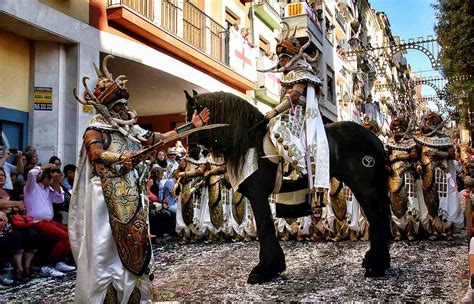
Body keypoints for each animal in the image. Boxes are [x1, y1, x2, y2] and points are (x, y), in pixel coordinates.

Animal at [186, 90, 392, 282]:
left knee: (376, 217)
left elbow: (264, 227)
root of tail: (375, 140)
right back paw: (376, 262)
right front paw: (274, 266)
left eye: (193, 117)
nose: (192, 153)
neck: (250, 142)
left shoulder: (258, 195)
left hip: (365, 187)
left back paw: (376, 265)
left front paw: (264, 270)